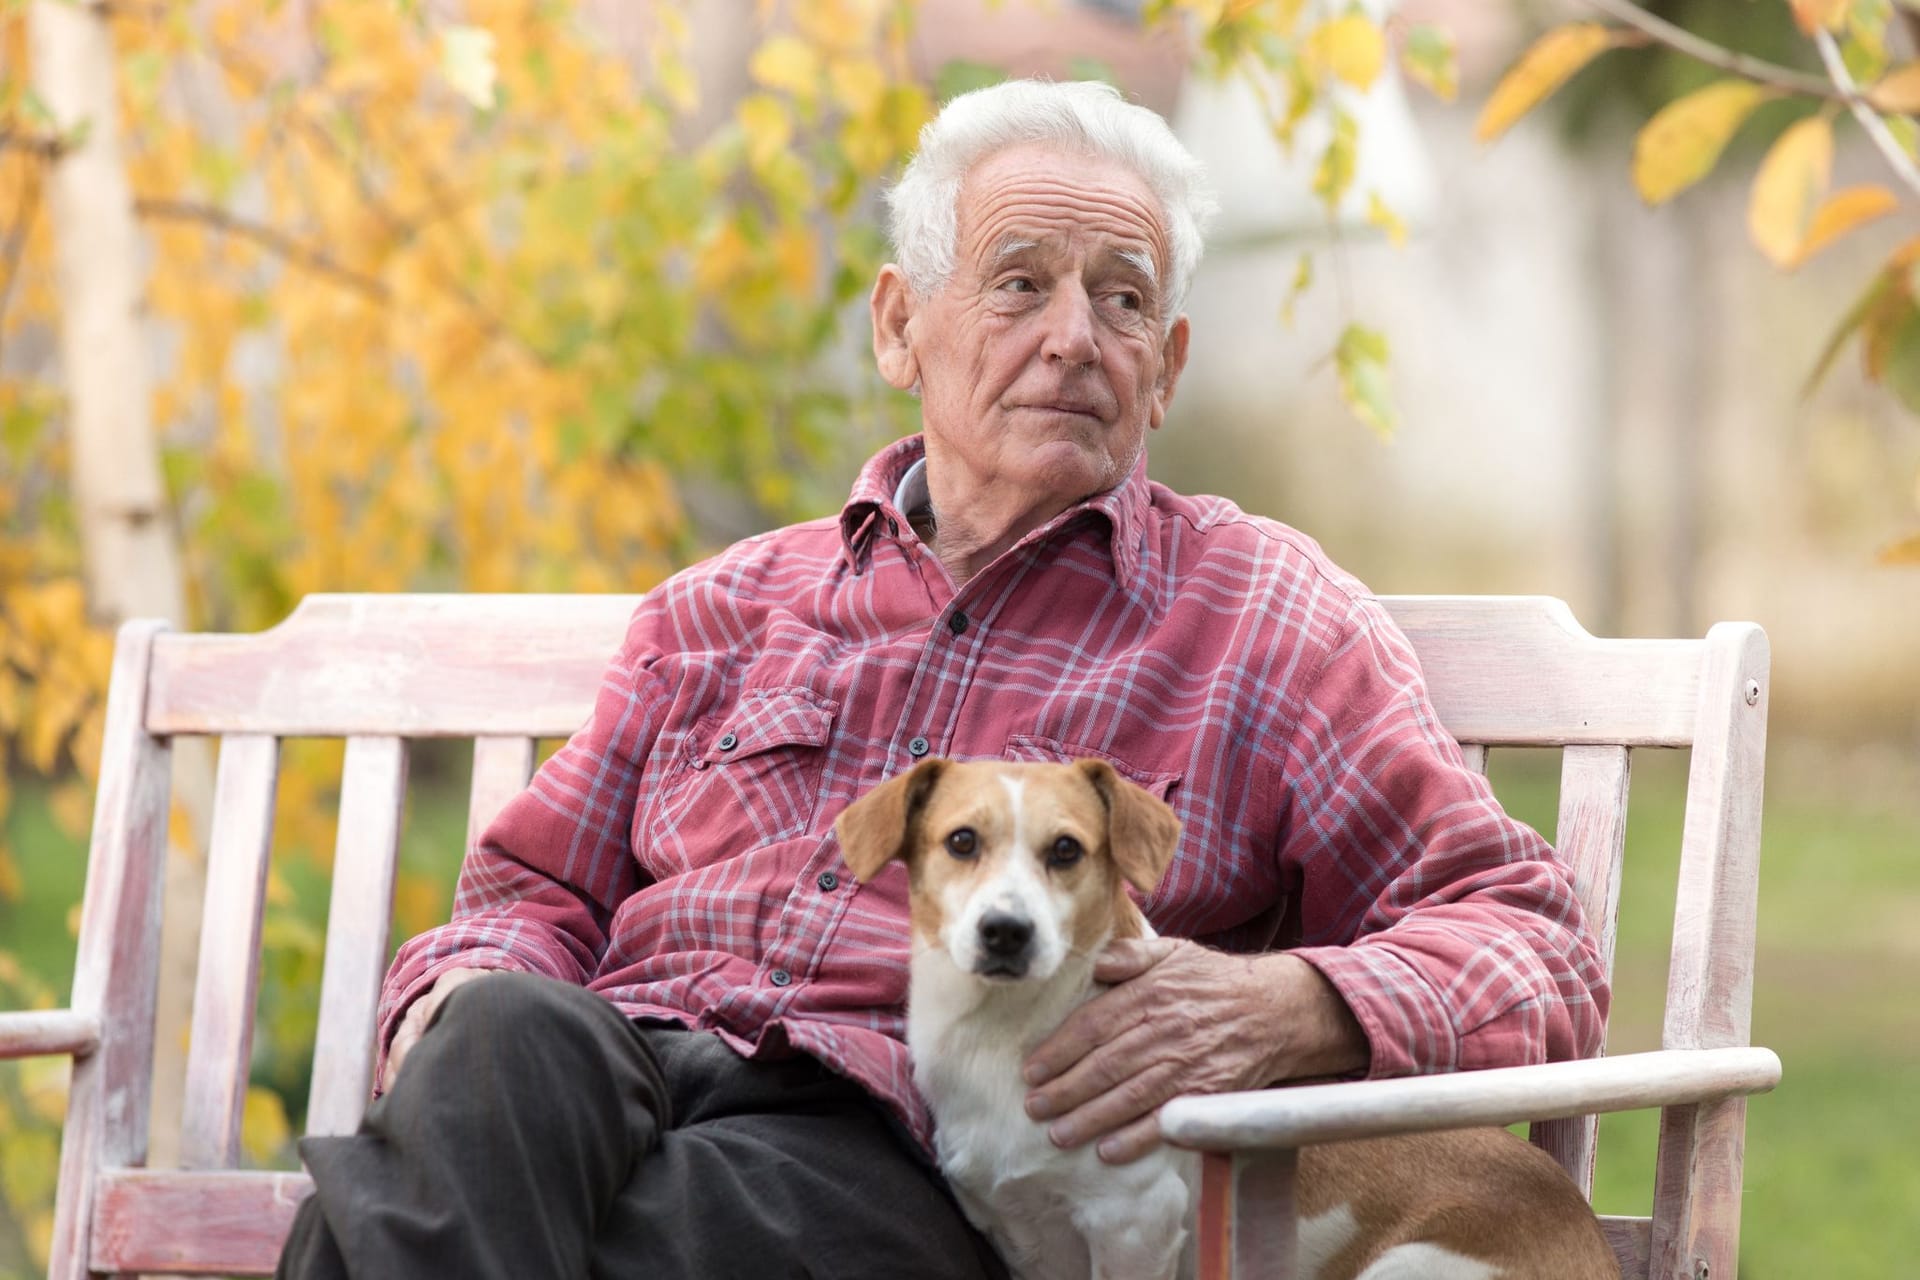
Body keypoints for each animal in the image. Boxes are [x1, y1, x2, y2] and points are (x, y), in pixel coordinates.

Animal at [840, 759, 1620, 1280]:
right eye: (961, 841)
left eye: (1066, 849)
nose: (1006, 931)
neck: (1001, 1038)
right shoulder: (1021, 1234)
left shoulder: (1134, 1223)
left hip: (1408, 1268)